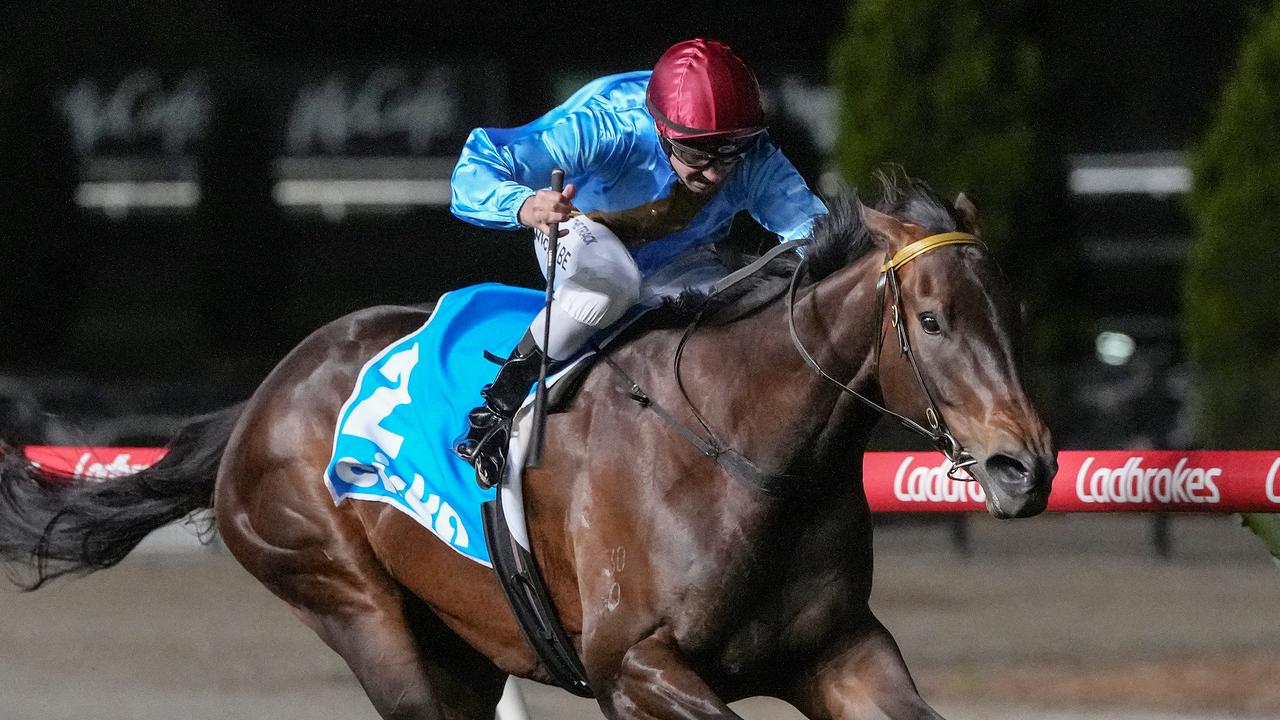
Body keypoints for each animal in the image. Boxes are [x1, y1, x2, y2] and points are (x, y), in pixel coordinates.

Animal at [0, 176, 1054, 712]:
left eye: (1012, 310)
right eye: (931, 319)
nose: (1027, 466)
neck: (742, 448)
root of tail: (261, 401)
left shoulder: (840, 649)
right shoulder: (634, 668)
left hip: (457, 644)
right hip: (350, 601)